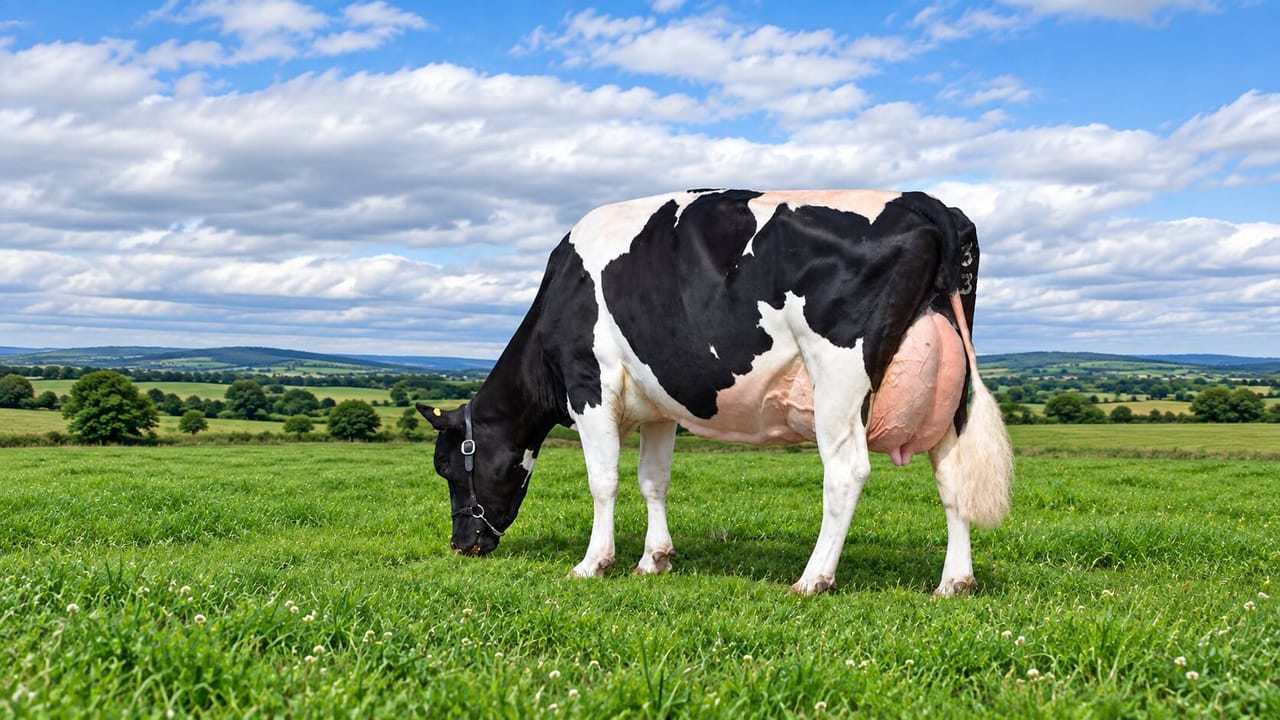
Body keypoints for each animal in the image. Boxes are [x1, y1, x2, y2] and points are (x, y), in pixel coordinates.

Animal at [417, 189, 1013, 596]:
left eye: (447, 466)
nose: (462, 544)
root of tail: (923, 202)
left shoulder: (591, 385)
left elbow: (603, 481)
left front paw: (593, 563)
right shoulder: (658, 405)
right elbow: (653, 480)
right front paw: (654, 559)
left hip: (839, 377)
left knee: (846, 474)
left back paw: (812, 579)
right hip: (950, 393)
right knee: (954, 478)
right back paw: (954, 582)